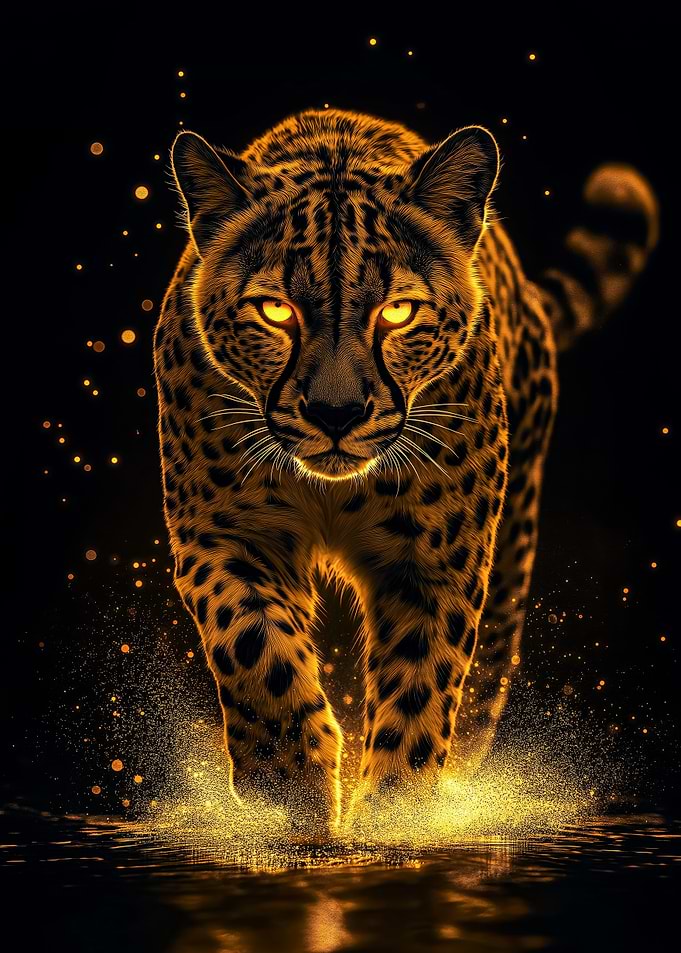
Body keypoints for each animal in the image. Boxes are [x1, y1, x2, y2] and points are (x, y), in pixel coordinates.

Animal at [153, 107, 658, 836]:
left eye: (397, 312)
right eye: (275, 311)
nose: (335, 413)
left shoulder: (434, 560)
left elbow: (421, 685)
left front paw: (395, 811)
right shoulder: (225, 534)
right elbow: (254, 646)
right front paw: (289, 787)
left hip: (511, 549)